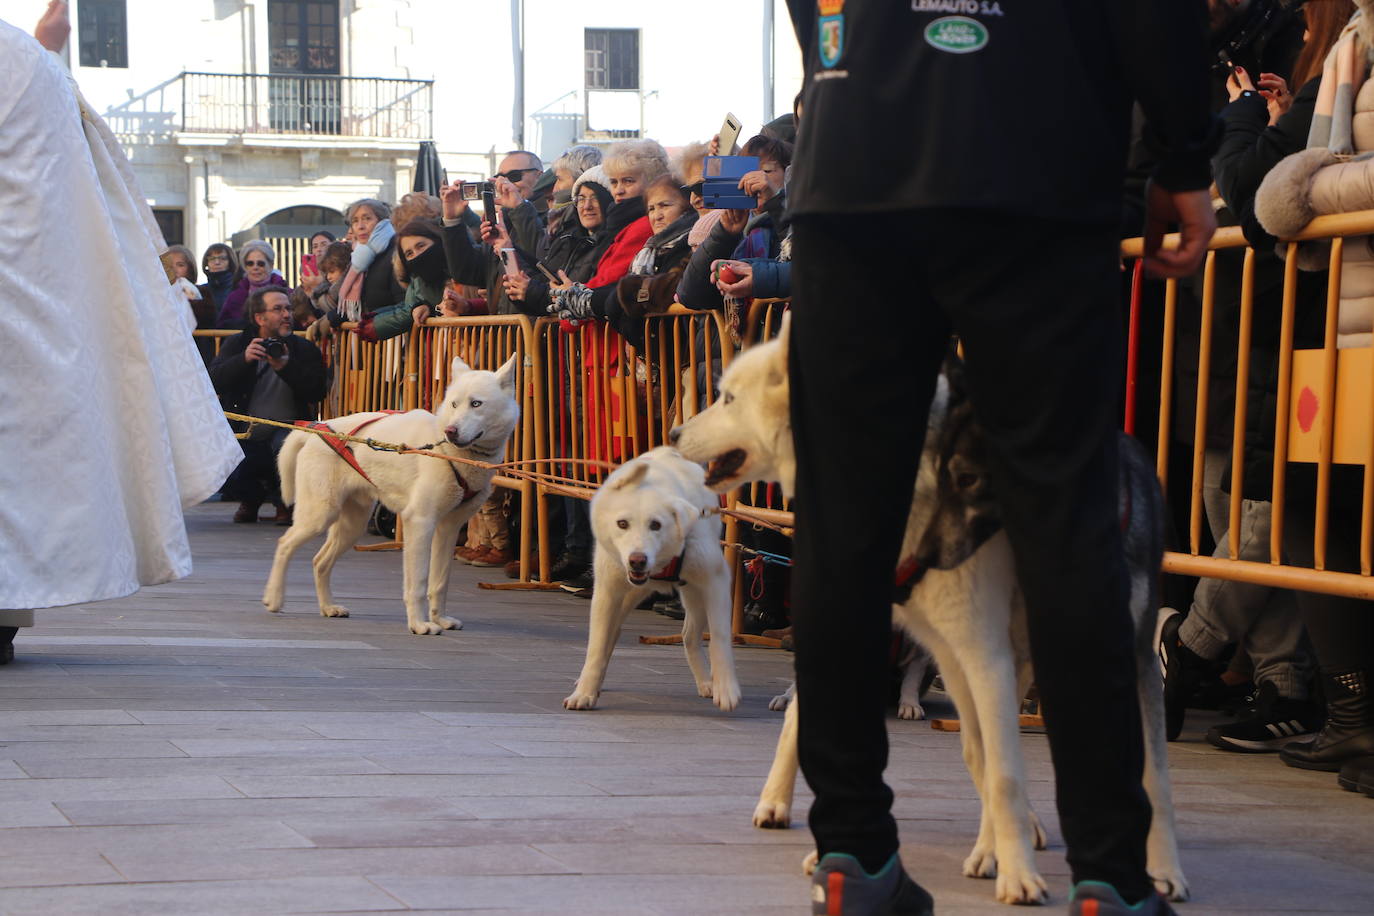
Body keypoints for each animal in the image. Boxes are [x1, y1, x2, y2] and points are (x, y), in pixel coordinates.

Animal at [262, 357, 519, 637]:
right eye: (454, 404)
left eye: (476, 403)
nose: (451, 431)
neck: (448, 452)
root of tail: (319, 428)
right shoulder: (420, 523)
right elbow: (418, 582)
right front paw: (419, 624)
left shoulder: (448, 530)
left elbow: (440, 582)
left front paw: (440, 620)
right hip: (319, 516)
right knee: (284, 544)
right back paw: (274, 598)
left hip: (352, 526)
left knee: (320, 561)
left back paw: (328, 607)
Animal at [560, 447, 741, 714]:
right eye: (622, 523)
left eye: (656, 525)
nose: (637, 560)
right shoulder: (607, 592)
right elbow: (597, 646)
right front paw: (584, 693)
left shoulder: (715, 581)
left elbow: (719, 637)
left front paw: (726, 689)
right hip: (628, 595)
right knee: (614, 633)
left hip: (695, 594)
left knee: (689, 636)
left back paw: (707, 682)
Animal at [670, 318, 1187, 906]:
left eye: (729, 399)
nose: (673, 435)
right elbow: (994, 765)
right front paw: (1010, 863)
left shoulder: (1005, 658)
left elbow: (1124, 776)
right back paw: (783, 806)